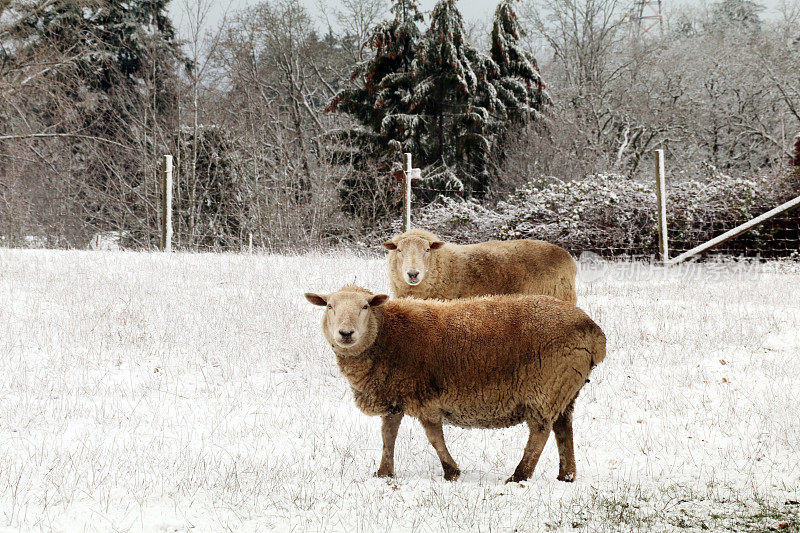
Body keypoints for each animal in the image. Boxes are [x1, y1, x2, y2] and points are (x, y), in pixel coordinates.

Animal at [304, 284, 604, 480]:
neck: (388, 334)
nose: (345, 334)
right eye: (329, 306)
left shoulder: (423, 395)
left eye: (365, 306)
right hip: (565, 388)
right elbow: (388, 435)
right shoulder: (395, 395)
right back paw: (566, 476)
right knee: (564, 429)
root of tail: (593, 331)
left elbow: (434, 436)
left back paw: (519, 476)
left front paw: (452, 471)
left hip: (547, 385)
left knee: (540, 431)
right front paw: (384, 473)